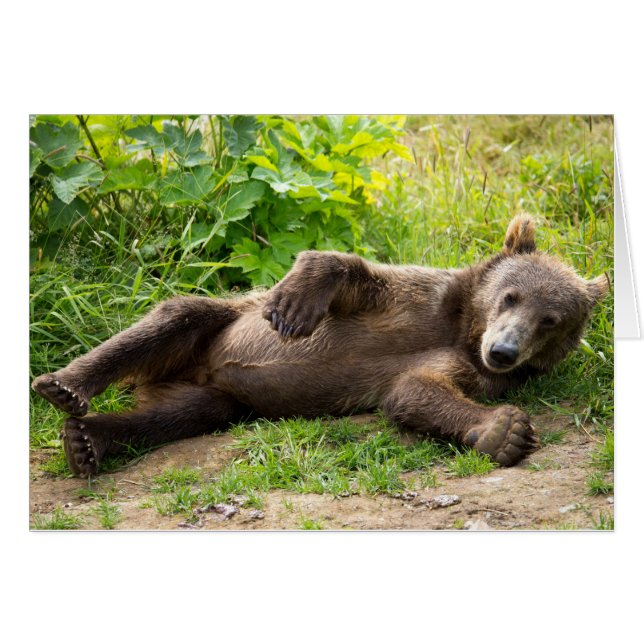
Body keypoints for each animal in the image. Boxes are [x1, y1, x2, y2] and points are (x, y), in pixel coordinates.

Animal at [31, 214, 609, 478]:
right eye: (511, 296)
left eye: (551, 320)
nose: (504, 351)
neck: (463, 328)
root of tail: (203, 373)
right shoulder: (414, 300)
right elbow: (344, 268)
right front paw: (293, 307)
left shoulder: (465, 369)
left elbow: (415, 391)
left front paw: (503, 431)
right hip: (215, 329)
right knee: (173, 318)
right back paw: (65, 387)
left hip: (223, 400)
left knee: (177, 415)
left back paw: (88, 440)